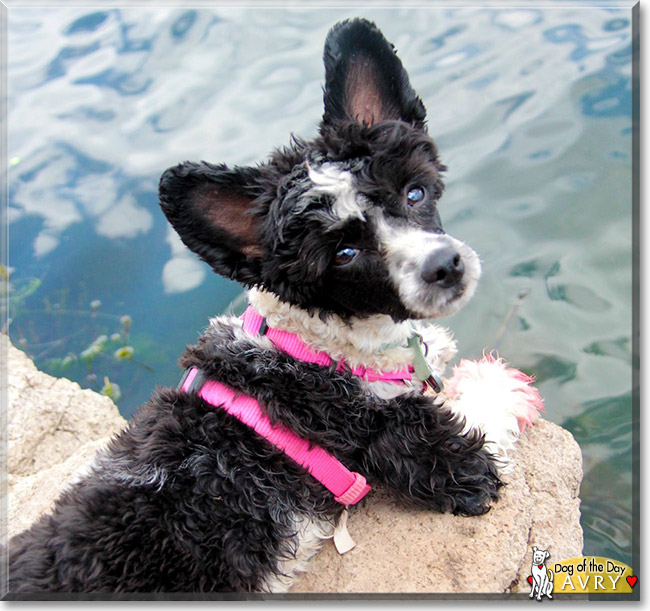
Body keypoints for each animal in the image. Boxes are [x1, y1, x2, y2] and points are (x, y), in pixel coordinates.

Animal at [7, 17, 540, 592]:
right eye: (345, 253)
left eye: (414, 193)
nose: (446, 265)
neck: (315, 342)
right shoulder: (422, 449)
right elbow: (479, 422)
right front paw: (501, 385)